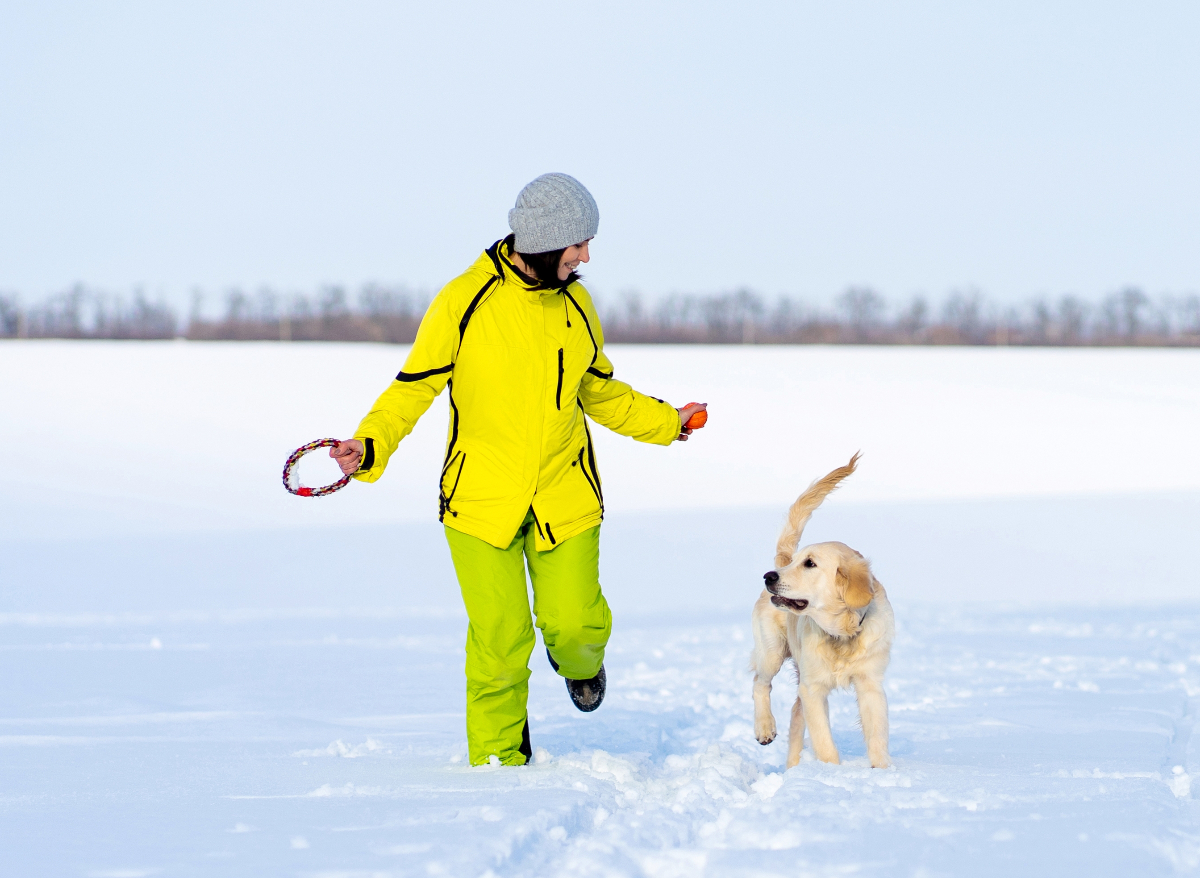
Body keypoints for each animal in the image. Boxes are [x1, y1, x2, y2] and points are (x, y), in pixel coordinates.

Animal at [748, 453, 892, 768]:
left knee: (794, 714)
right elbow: (825, 743)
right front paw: (831, 772)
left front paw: (882, 771)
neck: (842, 633)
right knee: (759, 683)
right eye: (798, 561)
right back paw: (765, 728)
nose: (768, 576)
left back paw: (793, 768)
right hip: (772, 651)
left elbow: (876, 735)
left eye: (810, 564)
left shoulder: (870, 682)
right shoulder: (813, 688)